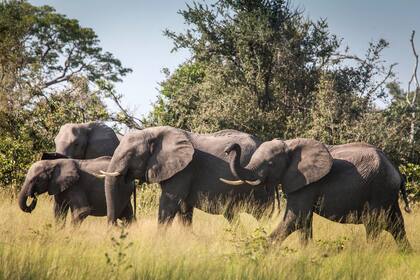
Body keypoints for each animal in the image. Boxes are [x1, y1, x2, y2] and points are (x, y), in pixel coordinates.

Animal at [100, 126, 280, 226]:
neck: (153, 132)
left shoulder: (184, 171)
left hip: (260, 187)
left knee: (262, 214)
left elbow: (169, 203)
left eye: (130, 155)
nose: (116, 225)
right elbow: (184, 209)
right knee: (232, 216)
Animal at [221, 139, 412, 249]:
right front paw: (306, 252)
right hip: (387, 192)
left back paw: (370, 252)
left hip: (379, 188)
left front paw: (259, 249)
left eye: (269, 164)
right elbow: (303, 221)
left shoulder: (306, 184)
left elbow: (295, 218)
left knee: (374, 223)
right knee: (396, 224)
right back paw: (406, 254)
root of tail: (396, 170)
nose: (229, 148)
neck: (290, 146)